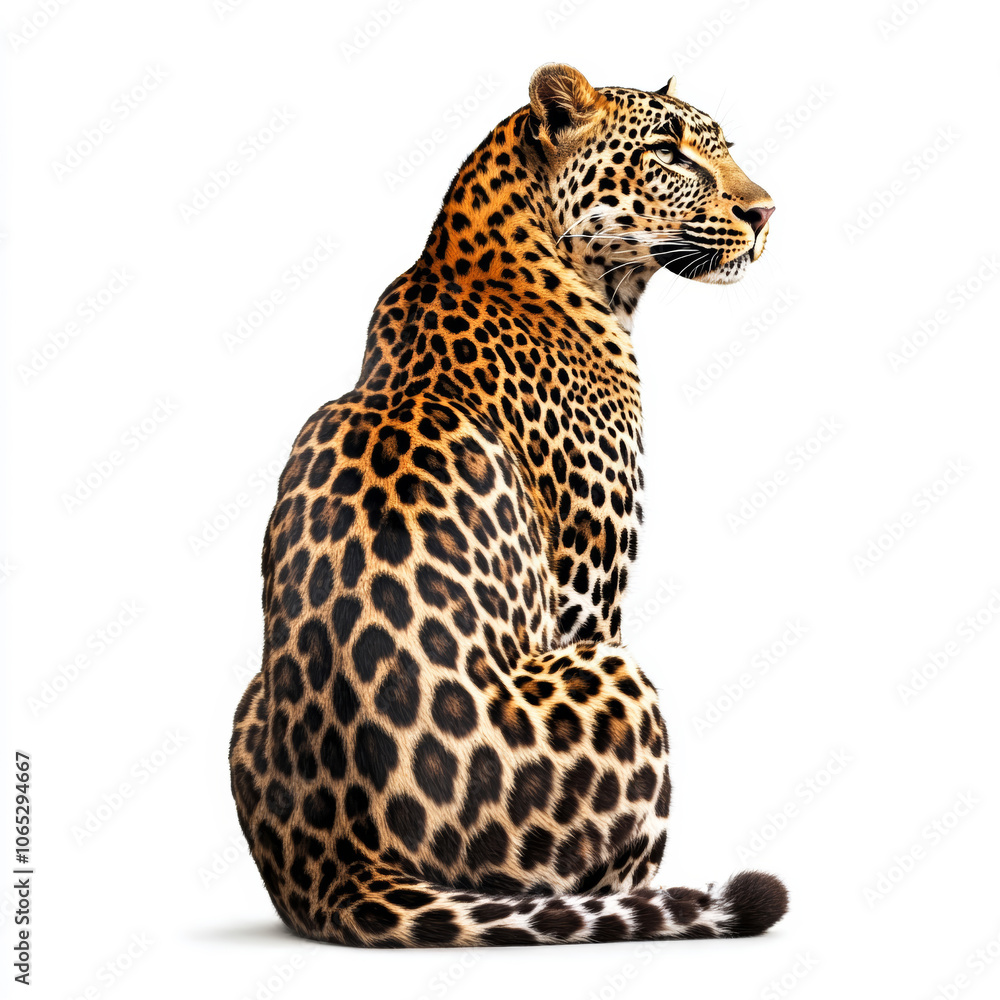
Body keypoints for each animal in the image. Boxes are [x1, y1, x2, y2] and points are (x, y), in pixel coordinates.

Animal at [230, 63, 787, 947]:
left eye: (722, 145)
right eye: (670, 153)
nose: (767, 213)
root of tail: (349, 867)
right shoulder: (587, 594)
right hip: (617, 677)